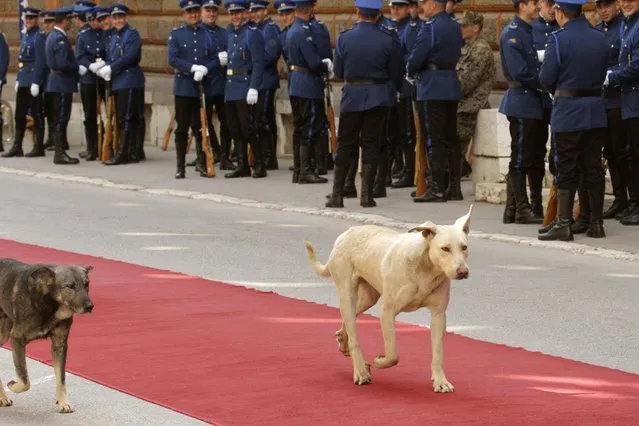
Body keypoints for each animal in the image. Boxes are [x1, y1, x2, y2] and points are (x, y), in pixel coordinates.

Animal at [0, 258, 94, 414]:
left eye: (86, 284)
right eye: (70, 286)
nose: (90, 306)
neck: (49, 302)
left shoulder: (59, 344)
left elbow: (61, 378)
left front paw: (63, 402)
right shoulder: (17, 338)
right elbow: (25, 380)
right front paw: (13, 385)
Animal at [302, 206, 472, 392]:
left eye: (464, 247)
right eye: (445, 249)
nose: (463, 272)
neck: (426, 268)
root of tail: (345, 235)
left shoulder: (438, 315)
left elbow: (438, 353)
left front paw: (440, 381)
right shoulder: (387, 312)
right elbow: (393, 354)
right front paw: (380, 361)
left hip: (368, 297)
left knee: (348, 322)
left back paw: (343, 342)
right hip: (347, 293)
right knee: (353, 334)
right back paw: (360, 370)